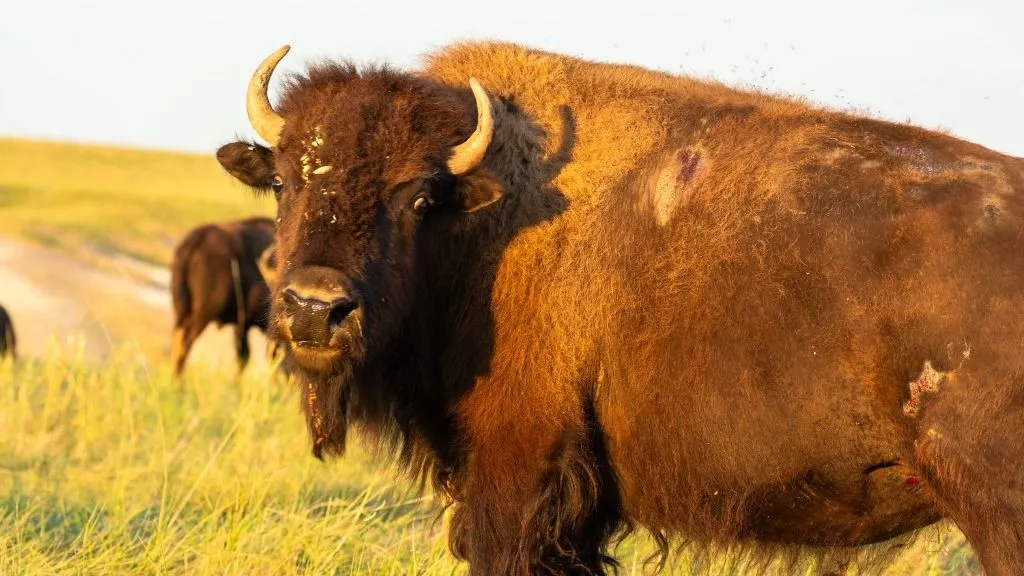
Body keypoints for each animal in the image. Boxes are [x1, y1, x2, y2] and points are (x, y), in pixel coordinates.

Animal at [169, 216, 275, 376]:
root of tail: (199, 236)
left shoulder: (243, 325)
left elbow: (244, 356)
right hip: (203, 314)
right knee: (186, 342)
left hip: (181, 310)